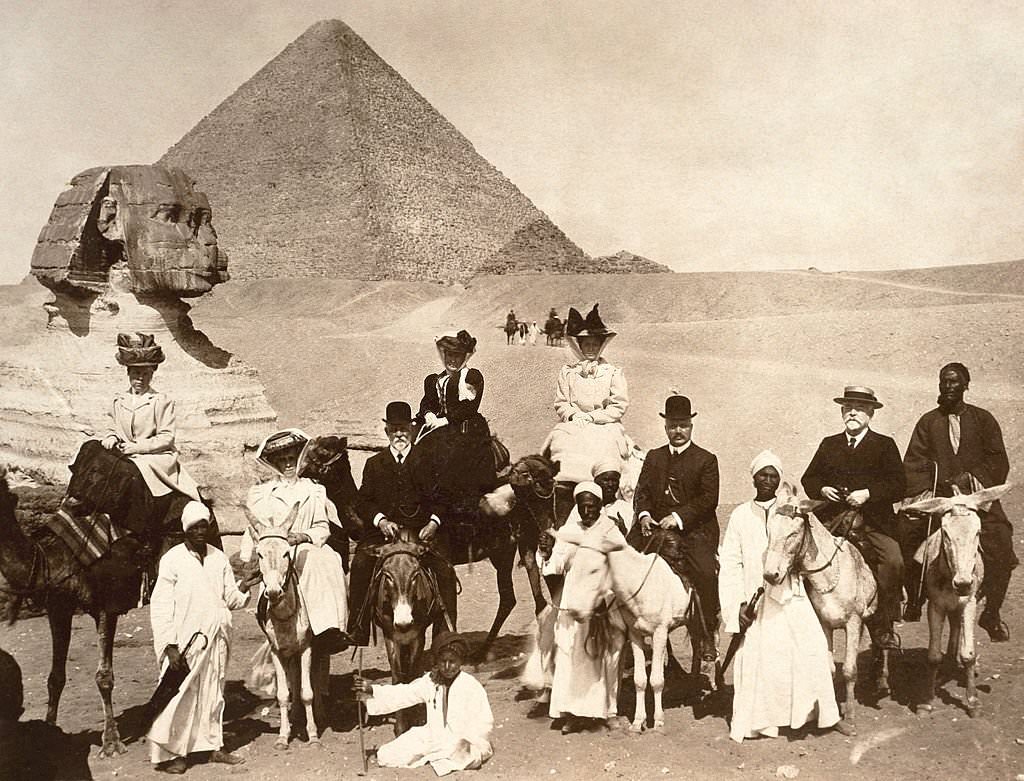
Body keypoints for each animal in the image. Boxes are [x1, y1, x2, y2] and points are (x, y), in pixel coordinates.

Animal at [905, 485, 1007, 716]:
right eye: (945, 533)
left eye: (978, 532)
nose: (963, 583)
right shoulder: (935, 606)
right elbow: (933, 656)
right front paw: (927, 701)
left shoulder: (969, 604)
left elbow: (968, 653)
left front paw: (972, 701)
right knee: (954, 628)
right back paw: (948, 665)